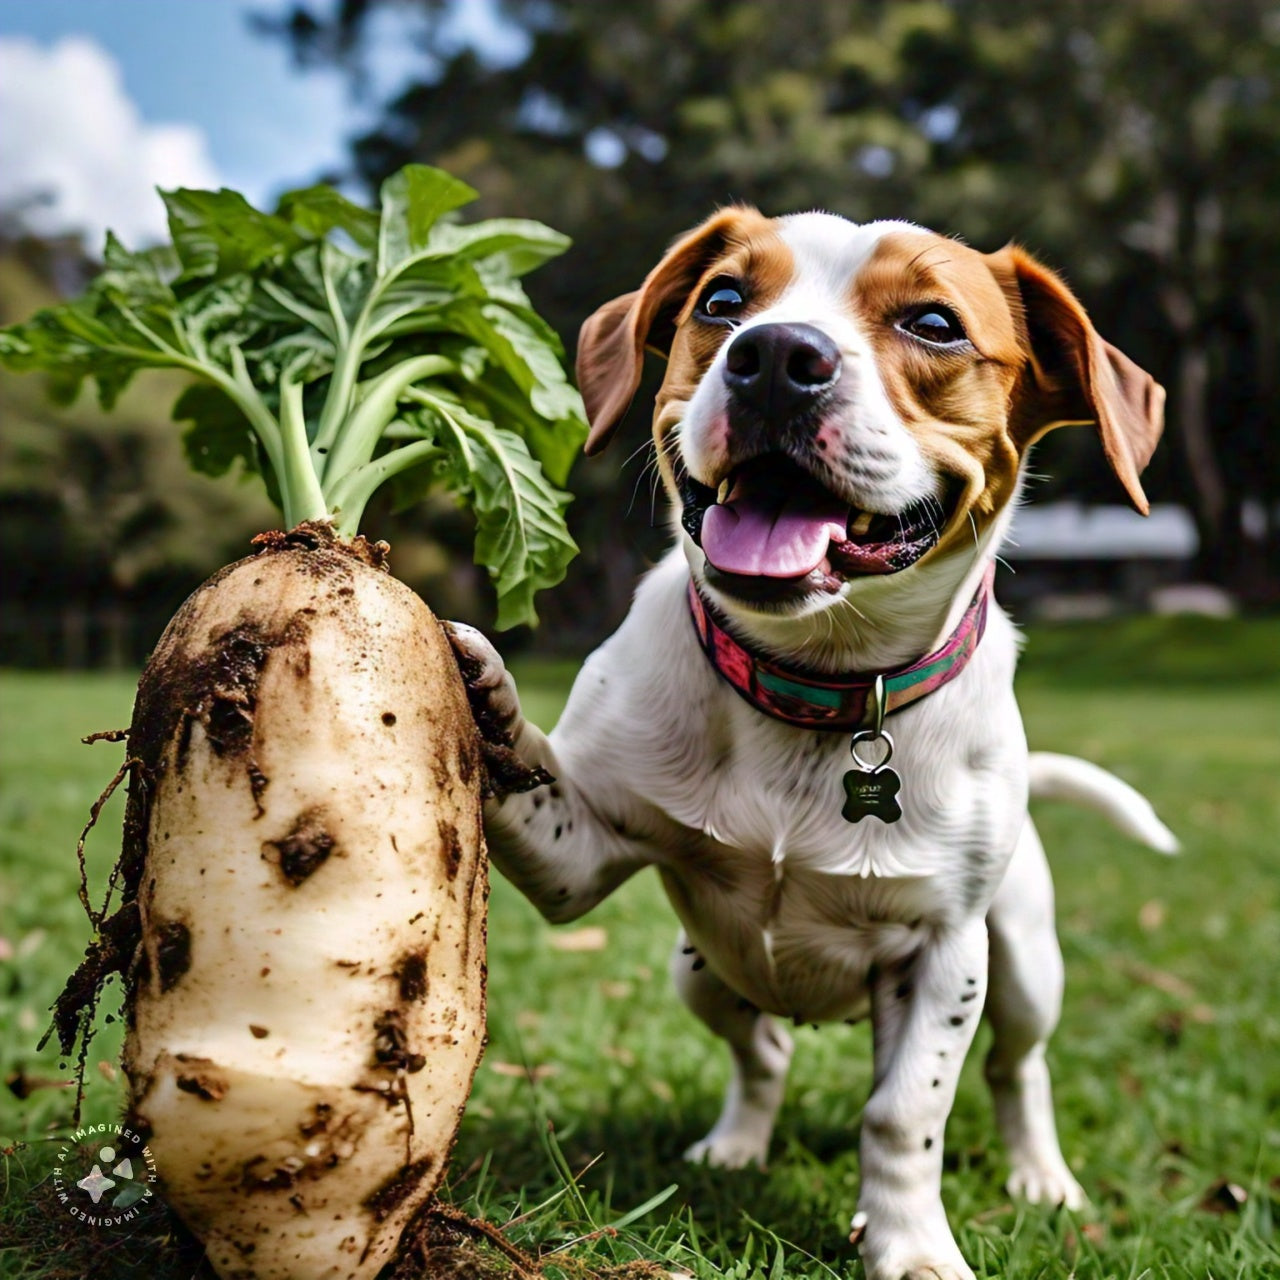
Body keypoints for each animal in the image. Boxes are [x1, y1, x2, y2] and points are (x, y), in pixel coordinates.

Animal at [453, 209, 1177, 1280]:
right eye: (721, 300)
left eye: (933, 322)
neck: (819, 685)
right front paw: (485, 701)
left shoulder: (946, 953)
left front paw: (912, 1245)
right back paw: (737, 1145)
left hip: (1023, 968)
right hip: (699, 972)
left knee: (1020, 1071)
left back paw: (1041, 1176)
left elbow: (902, 1115)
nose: (774, 358)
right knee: (765, 1054)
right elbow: (537, 786)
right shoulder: (578, 855)